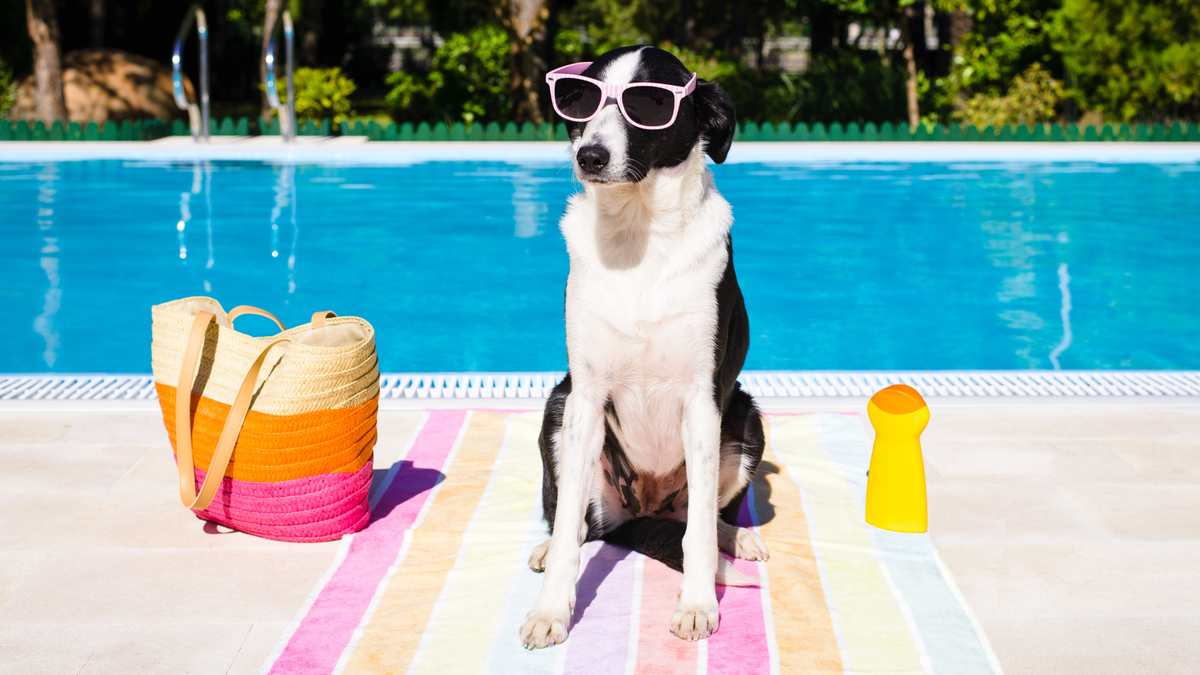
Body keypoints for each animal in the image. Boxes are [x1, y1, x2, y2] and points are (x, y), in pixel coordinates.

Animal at [523, 47, 768, 648]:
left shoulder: (702, 401)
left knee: (694, 519)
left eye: (650, 103)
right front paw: (550, 611)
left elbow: (697, 533)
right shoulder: (585, 398)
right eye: (581, 100)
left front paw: (698, 604)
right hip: (557, 409)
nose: (590, 155)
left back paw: (736, 538)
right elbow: (568, 527)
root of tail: (641, 510)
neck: (638, 234)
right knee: (579, 525)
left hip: (746, 418)